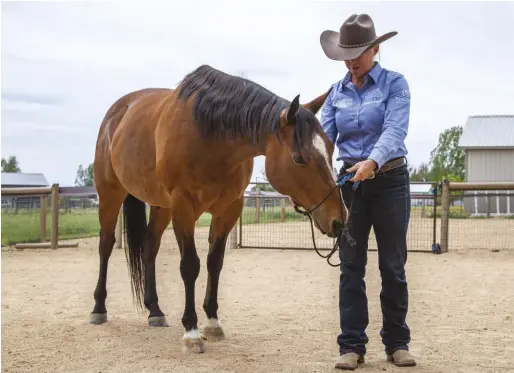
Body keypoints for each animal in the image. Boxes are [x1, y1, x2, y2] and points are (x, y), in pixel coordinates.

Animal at [90, 64, 350, 352]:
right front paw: (191, 332)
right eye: (299, 158)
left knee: (149, 247)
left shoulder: (228, 209)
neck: (211, 137)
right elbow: (190, 265)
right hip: (110, 194)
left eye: (330, 148)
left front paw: (213, 323)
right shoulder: (183, 207)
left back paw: (155, 310)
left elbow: (215, 262)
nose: (339, 219)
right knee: (105, 244)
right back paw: (99, 308)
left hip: (160, 206)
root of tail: (117, 113)